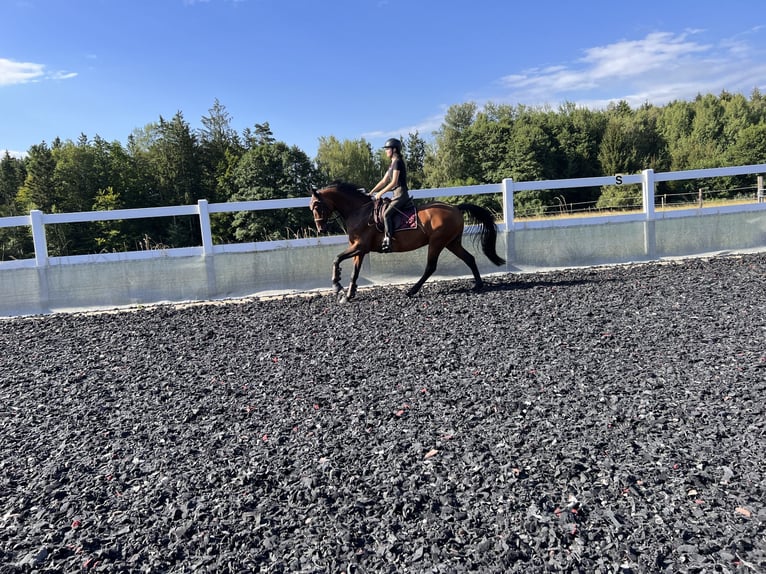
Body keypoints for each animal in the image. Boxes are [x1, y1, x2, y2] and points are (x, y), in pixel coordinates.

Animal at [308, 183, 508, 302]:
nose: (321, 229)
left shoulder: (359, 246)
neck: (359, 211)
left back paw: (412, 290)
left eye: (317, 205)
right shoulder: (360, 249)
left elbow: (336, 258)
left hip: (437, 242)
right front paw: (348, 294)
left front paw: (336, 285)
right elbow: (354, 272)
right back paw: (478, 285)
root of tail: (456, 208)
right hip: (452, 242)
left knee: (431, 267)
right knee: (469, 258)